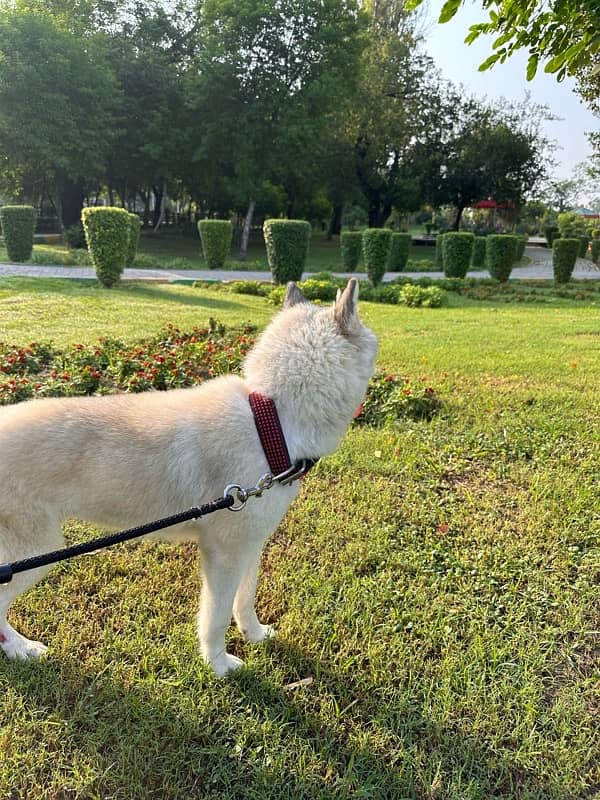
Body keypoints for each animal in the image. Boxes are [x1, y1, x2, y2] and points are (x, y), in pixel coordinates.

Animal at [0, 282, 376, 676]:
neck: (271, 419)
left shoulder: (250, 546)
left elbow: (245, 600)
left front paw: (255, 635)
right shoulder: (223, 555)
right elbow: (216, 617)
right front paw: (218, 664)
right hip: (35, 553)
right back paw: (20, 648)